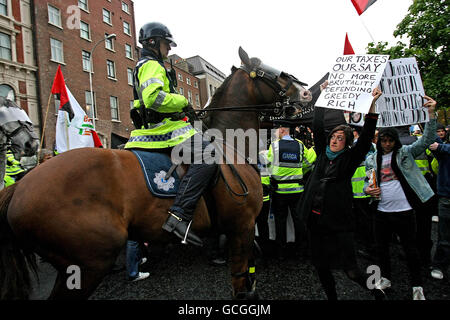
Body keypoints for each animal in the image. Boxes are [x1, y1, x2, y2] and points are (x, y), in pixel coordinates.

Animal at [0, 47, 310, 300]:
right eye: (269, 71)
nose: (305, 91)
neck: (229, 144)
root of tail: (19, 187)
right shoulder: (242, 226)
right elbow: (241, 283)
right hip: (87, 265)